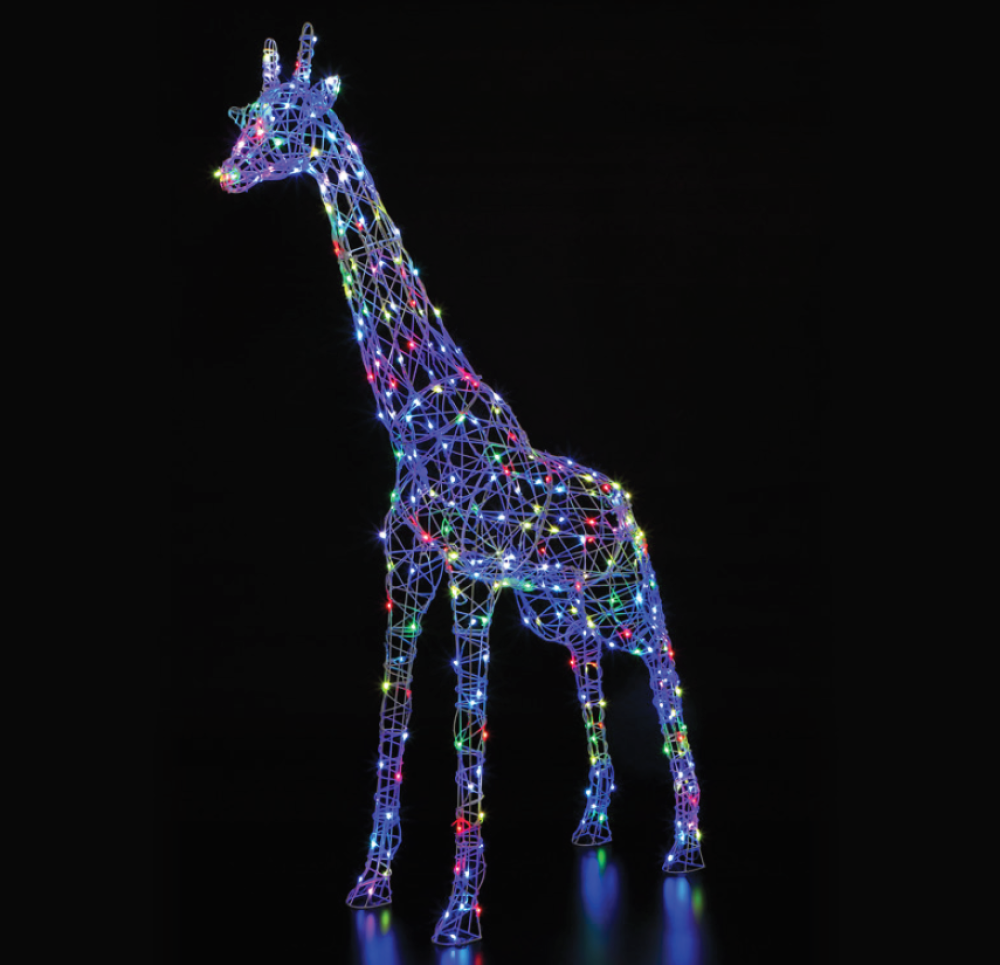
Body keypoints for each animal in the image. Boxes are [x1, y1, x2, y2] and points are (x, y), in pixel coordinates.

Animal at [220, 23, 704, 946]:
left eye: (284, 123)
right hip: (557, 603)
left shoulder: (472, 577)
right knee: (589, 658)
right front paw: (372, 883)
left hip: (627, 593)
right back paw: (594, 822)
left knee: (666, 672)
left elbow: (467, 735)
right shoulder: (407, 569)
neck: (418, 420)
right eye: (245, 115)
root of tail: (622, 503)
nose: (228, 172)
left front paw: (457, 913)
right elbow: (393, 720)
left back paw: (686, 847)